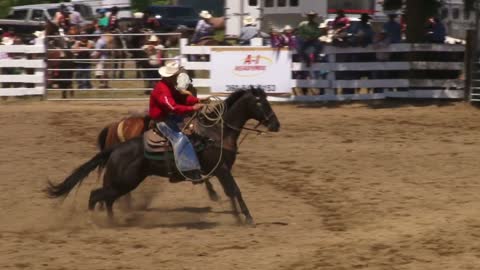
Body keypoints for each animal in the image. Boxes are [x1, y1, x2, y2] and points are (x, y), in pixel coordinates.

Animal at [47, 87, 280, 225]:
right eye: (261, 103)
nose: (276, 125)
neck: (217, 132)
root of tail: (115, 148)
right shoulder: (221, 168)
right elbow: (235, 191)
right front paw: (247, 217)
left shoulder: (220, 170)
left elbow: (230, 192)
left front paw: (236, 216)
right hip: (123, 182)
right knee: (98, 196)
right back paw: (98, 221)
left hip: (122, 182)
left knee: (106, 198)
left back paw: (112, 221)